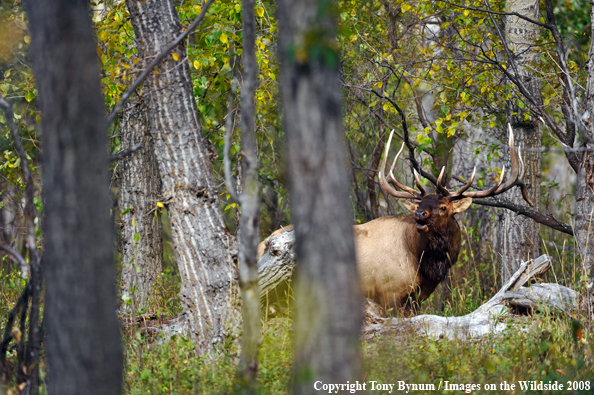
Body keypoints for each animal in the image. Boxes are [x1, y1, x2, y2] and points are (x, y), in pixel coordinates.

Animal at [256, 126, 528, 312]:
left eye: (442, 207)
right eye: (420, 204)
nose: (419, 214)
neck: (423, 263)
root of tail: (263, 244)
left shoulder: (416, 298)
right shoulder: (388, 294)